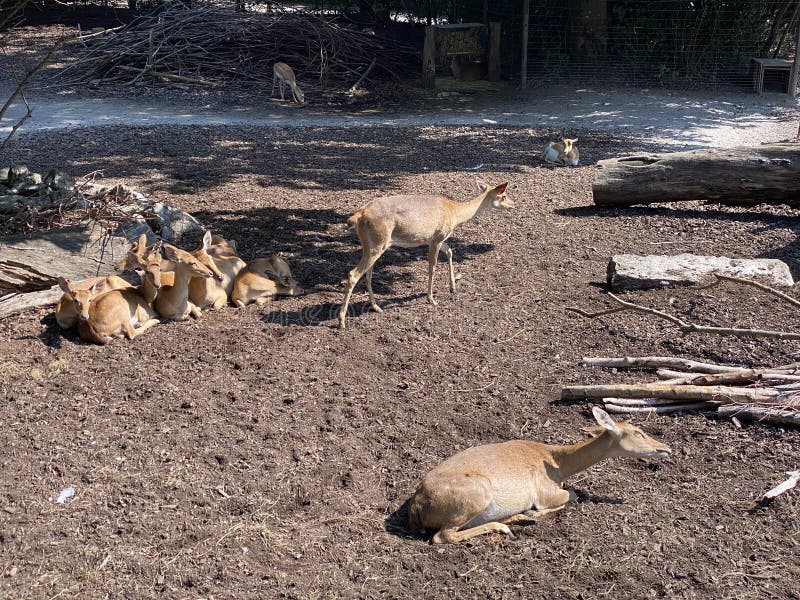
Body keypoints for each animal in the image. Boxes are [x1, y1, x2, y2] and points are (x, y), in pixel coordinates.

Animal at [338, 179, 512, 328]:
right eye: (503, 196)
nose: (513, 204)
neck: (454, 214)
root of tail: (357, 217)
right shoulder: (437, 237)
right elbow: (432, 267)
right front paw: (431, 299)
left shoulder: (435, 239)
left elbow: (450, 251)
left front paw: (453, 288)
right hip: (377, 242)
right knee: (353, 274)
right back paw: (342, 321)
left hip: (373, 245)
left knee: (367, 274)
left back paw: (376, 307)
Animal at [410, 408, 672, 544]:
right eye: (638, 432)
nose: (666, 448)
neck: (558, 465)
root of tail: (418, 504)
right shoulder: (545, 492)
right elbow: (572, 495)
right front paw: (533, 512)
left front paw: (527, 516)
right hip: (476, 494)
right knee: (442, 536)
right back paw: (506, 525)